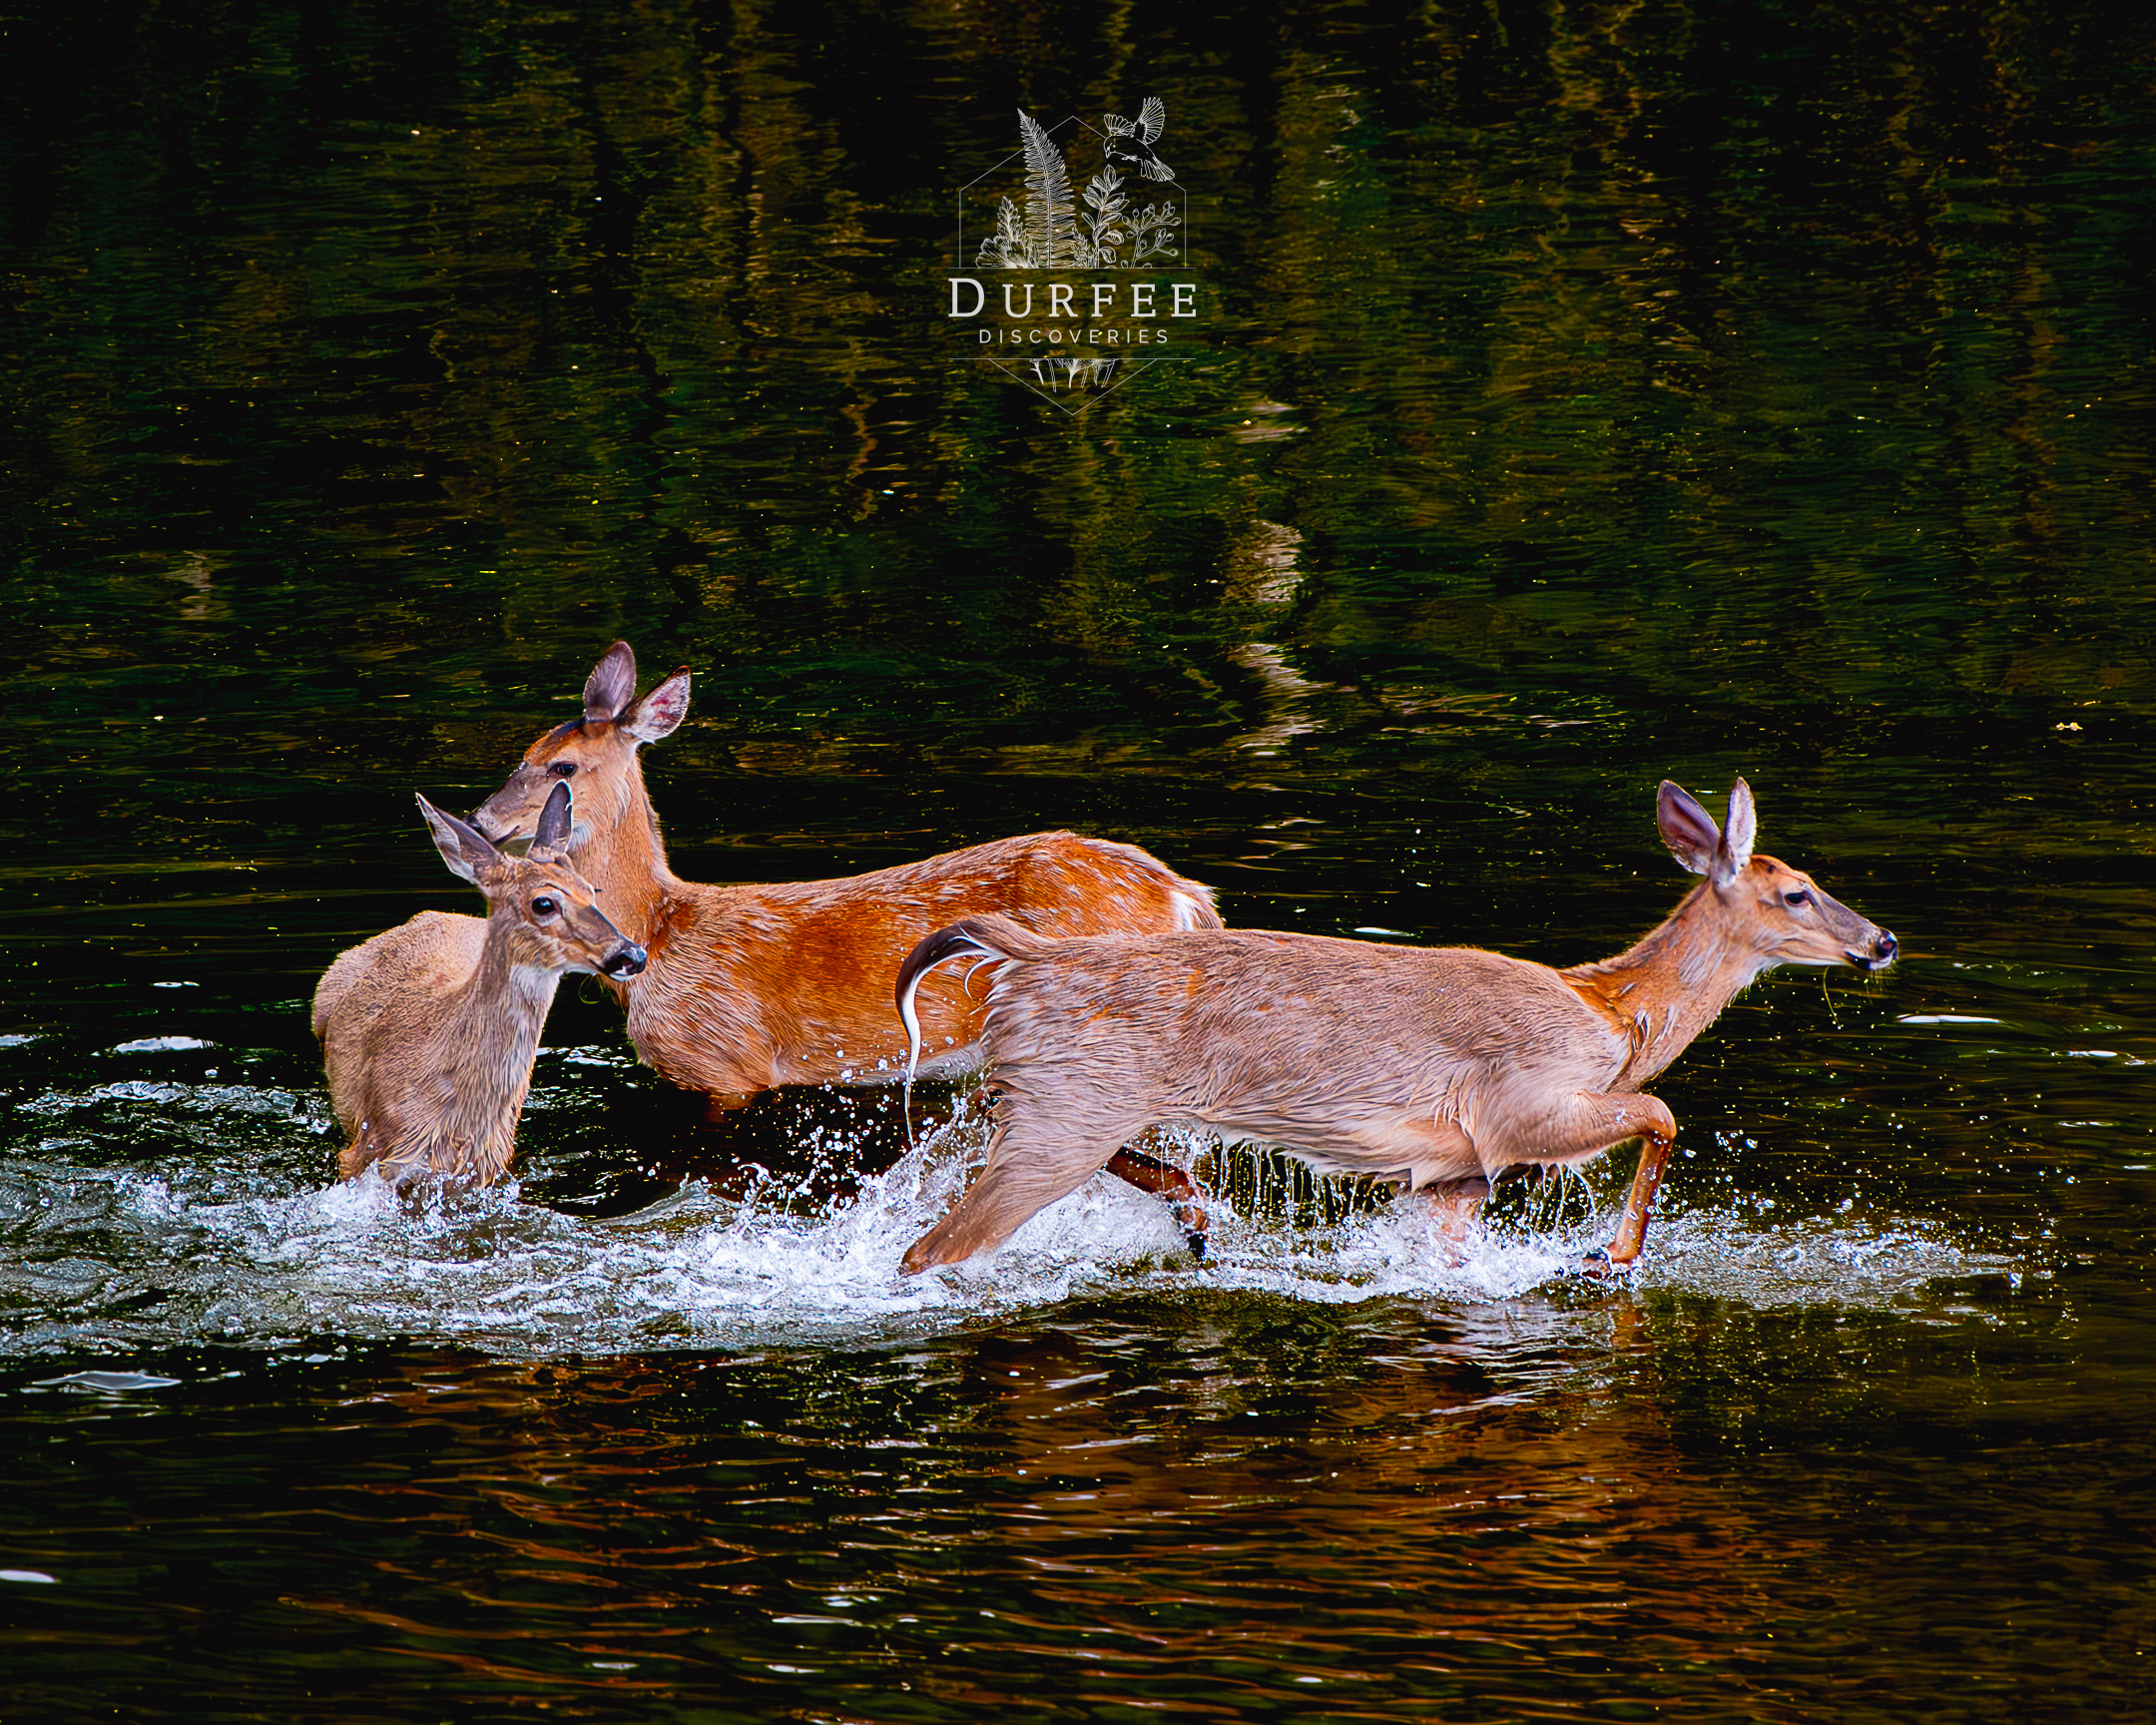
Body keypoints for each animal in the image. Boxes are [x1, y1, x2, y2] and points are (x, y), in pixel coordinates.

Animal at [467, 641, 1222, 1235]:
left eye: (563, 767)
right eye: (523, 754)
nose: (481, 818)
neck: (662, 931)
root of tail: (1186, 898)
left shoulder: (725, 1068)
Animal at [893, 778, 1897, 1274]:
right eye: (1797, 892)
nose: (1882, 940)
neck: (1612, 1016)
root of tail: (1028, 961)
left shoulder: (1455, 1176)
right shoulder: (1521, 1106)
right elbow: (1663, 1115)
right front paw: (1607, 1255)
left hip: (1046, 1101)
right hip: (1069, 1109)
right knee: (930, 1248)